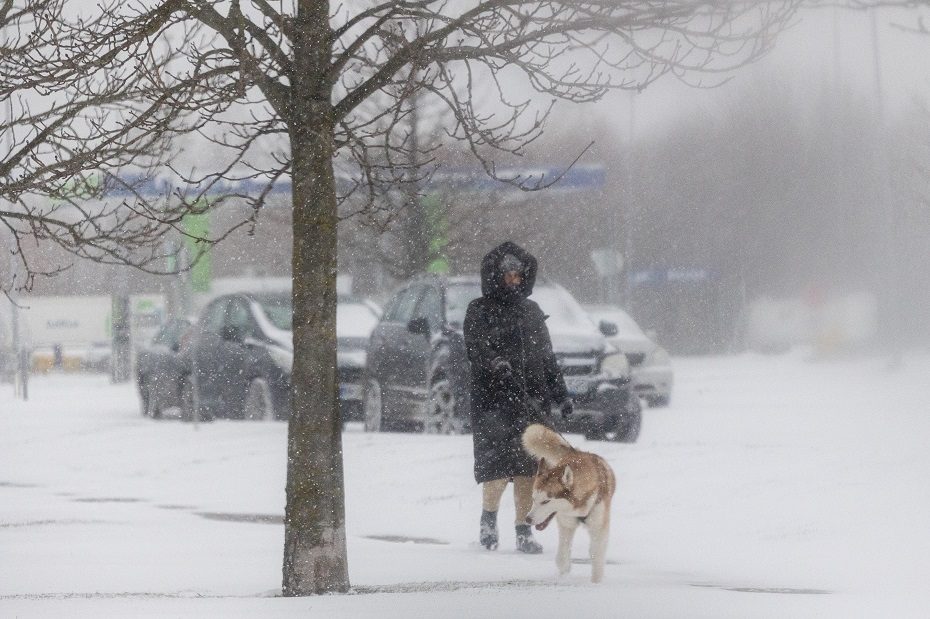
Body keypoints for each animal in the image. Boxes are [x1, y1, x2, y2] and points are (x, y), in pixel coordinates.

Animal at [520, 424, 616, 584]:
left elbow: (596, 555)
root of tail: (576, 451)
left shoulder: (599, 527)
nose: (528, 519)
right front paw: (564, 576)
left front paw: (596, 582)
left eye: (546, 501)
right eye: (533, 499)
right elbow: (562, 557)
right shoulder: (567, 524)